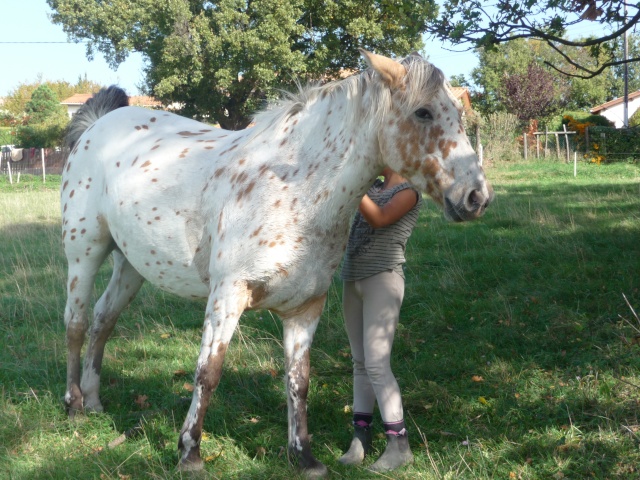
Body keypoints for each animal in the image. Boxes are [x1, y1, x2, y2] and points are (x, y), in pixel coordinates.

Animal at [61, 48, 490, 476]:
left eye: (458, 112)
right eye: (423, 112)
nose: (476, 197)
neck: (293, 188)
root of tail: (97, 126)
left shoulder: (305, 308)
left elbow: (298, 381)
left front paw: (303, 456)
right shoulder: (227, 297)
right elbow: (208, 373)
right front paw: (189, 453)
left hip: (130, 266)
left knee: (103, 320)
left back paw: (95, 401)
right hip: (83, 254)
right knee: (76, 323)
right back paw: (75, 405)